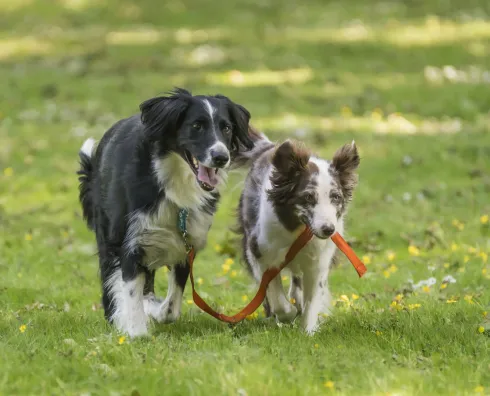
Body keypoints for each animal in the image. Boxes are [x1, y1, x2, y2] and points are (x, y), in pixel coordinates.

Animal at [77, 88, 253, 336]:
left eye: (226, 128)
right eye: (197, 126)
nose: (221, 157)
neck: (173, 182)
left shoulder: (186, 243)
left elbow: (171, 307)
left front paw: (154, 311)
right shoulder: (130, 242)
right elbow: (130, 291)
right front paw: (136, 332)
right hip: (108, 235)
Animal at [237, 138, 360, 332]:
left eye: (336, 197)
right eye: (308, 197)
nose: (328, 229)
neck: (300, 230)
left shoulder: (319, 261)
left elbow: (313, 299)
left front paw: (307, 331)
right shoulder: (259, 252)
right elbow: (276, 297)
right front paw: (288, 314)